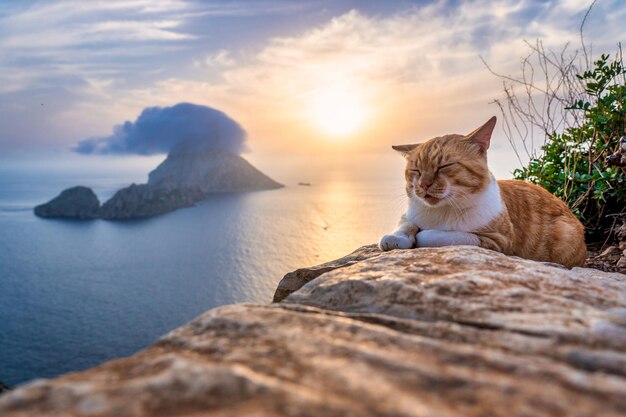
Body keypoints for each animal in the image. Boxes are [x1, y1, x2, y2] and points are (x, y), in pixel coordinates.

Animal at [378, 116, 588, 266]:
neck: (441, 211)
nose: (423, 184)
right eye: (416, 170)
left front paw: (424, 234)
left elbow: (441, 235)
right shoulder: (409, 213)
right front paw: (396, 237)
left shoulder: (496, 241)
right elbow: (407, 223)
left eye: (444, 166)